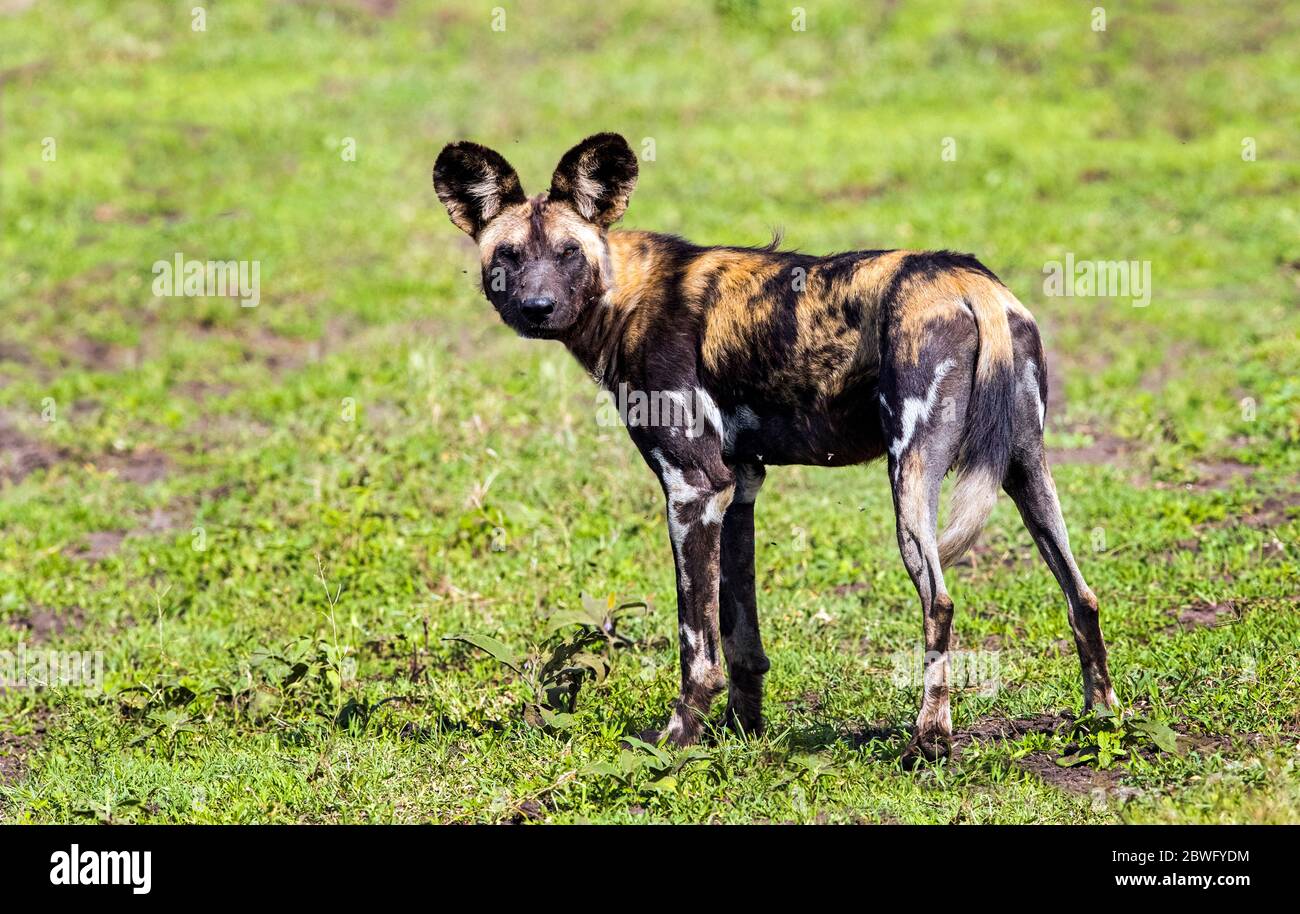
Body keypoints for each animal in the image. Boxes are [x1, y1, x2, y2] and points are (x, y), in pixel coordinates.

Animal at [434, 132, 1118, 759]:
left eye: (568, 253)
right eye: (509, 256)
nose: (536, 307)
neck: (624, 295)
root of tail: (970, 281)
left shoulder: (692, 488)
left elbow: (696, 645)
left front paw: (678, 742)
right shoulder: (738, 488)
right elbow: (741, 640)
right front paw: (742, 732)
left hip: (910, 480)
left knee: (941, 603)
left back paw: (928, 740)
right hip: (1027, 471)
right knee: (1081, 595)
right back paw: (1101, 720)